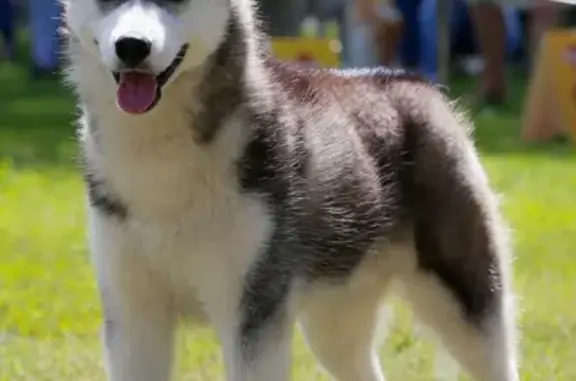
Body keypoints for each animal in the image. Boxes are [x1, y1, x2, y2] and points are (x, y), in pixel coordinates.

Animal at [60, 0, 520, 378]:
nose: (131, 46)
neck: (161, 160)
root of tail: (409, 81)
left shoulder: (252, 314)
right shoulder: (133, 316)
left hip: (469, 303)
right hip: (334, 319)